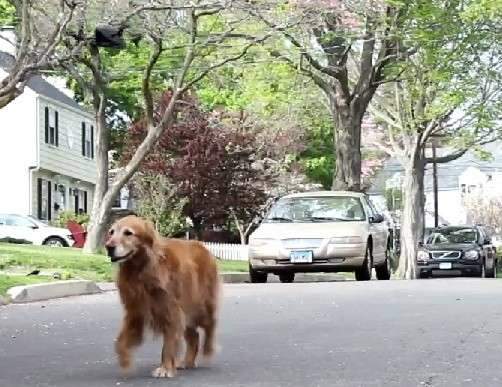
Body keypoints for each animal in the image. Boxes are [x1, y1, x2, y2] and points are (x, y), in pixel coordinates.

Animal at [105, 215, 220, 378]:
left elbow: (168, 345)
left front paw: (165, 368)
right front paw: (125, 363)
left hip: (200, 306)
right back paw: (187, 361)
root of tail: (202, 246)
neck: (140, 270)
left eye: (128, 233)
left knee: (211, 324)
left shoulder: (170, 310)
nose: (108, 247)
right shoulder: (135, 312)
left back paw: (208, 350)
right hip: (186, 312)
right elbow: (120, 342)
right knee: (194, 335)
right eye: (111, 232)